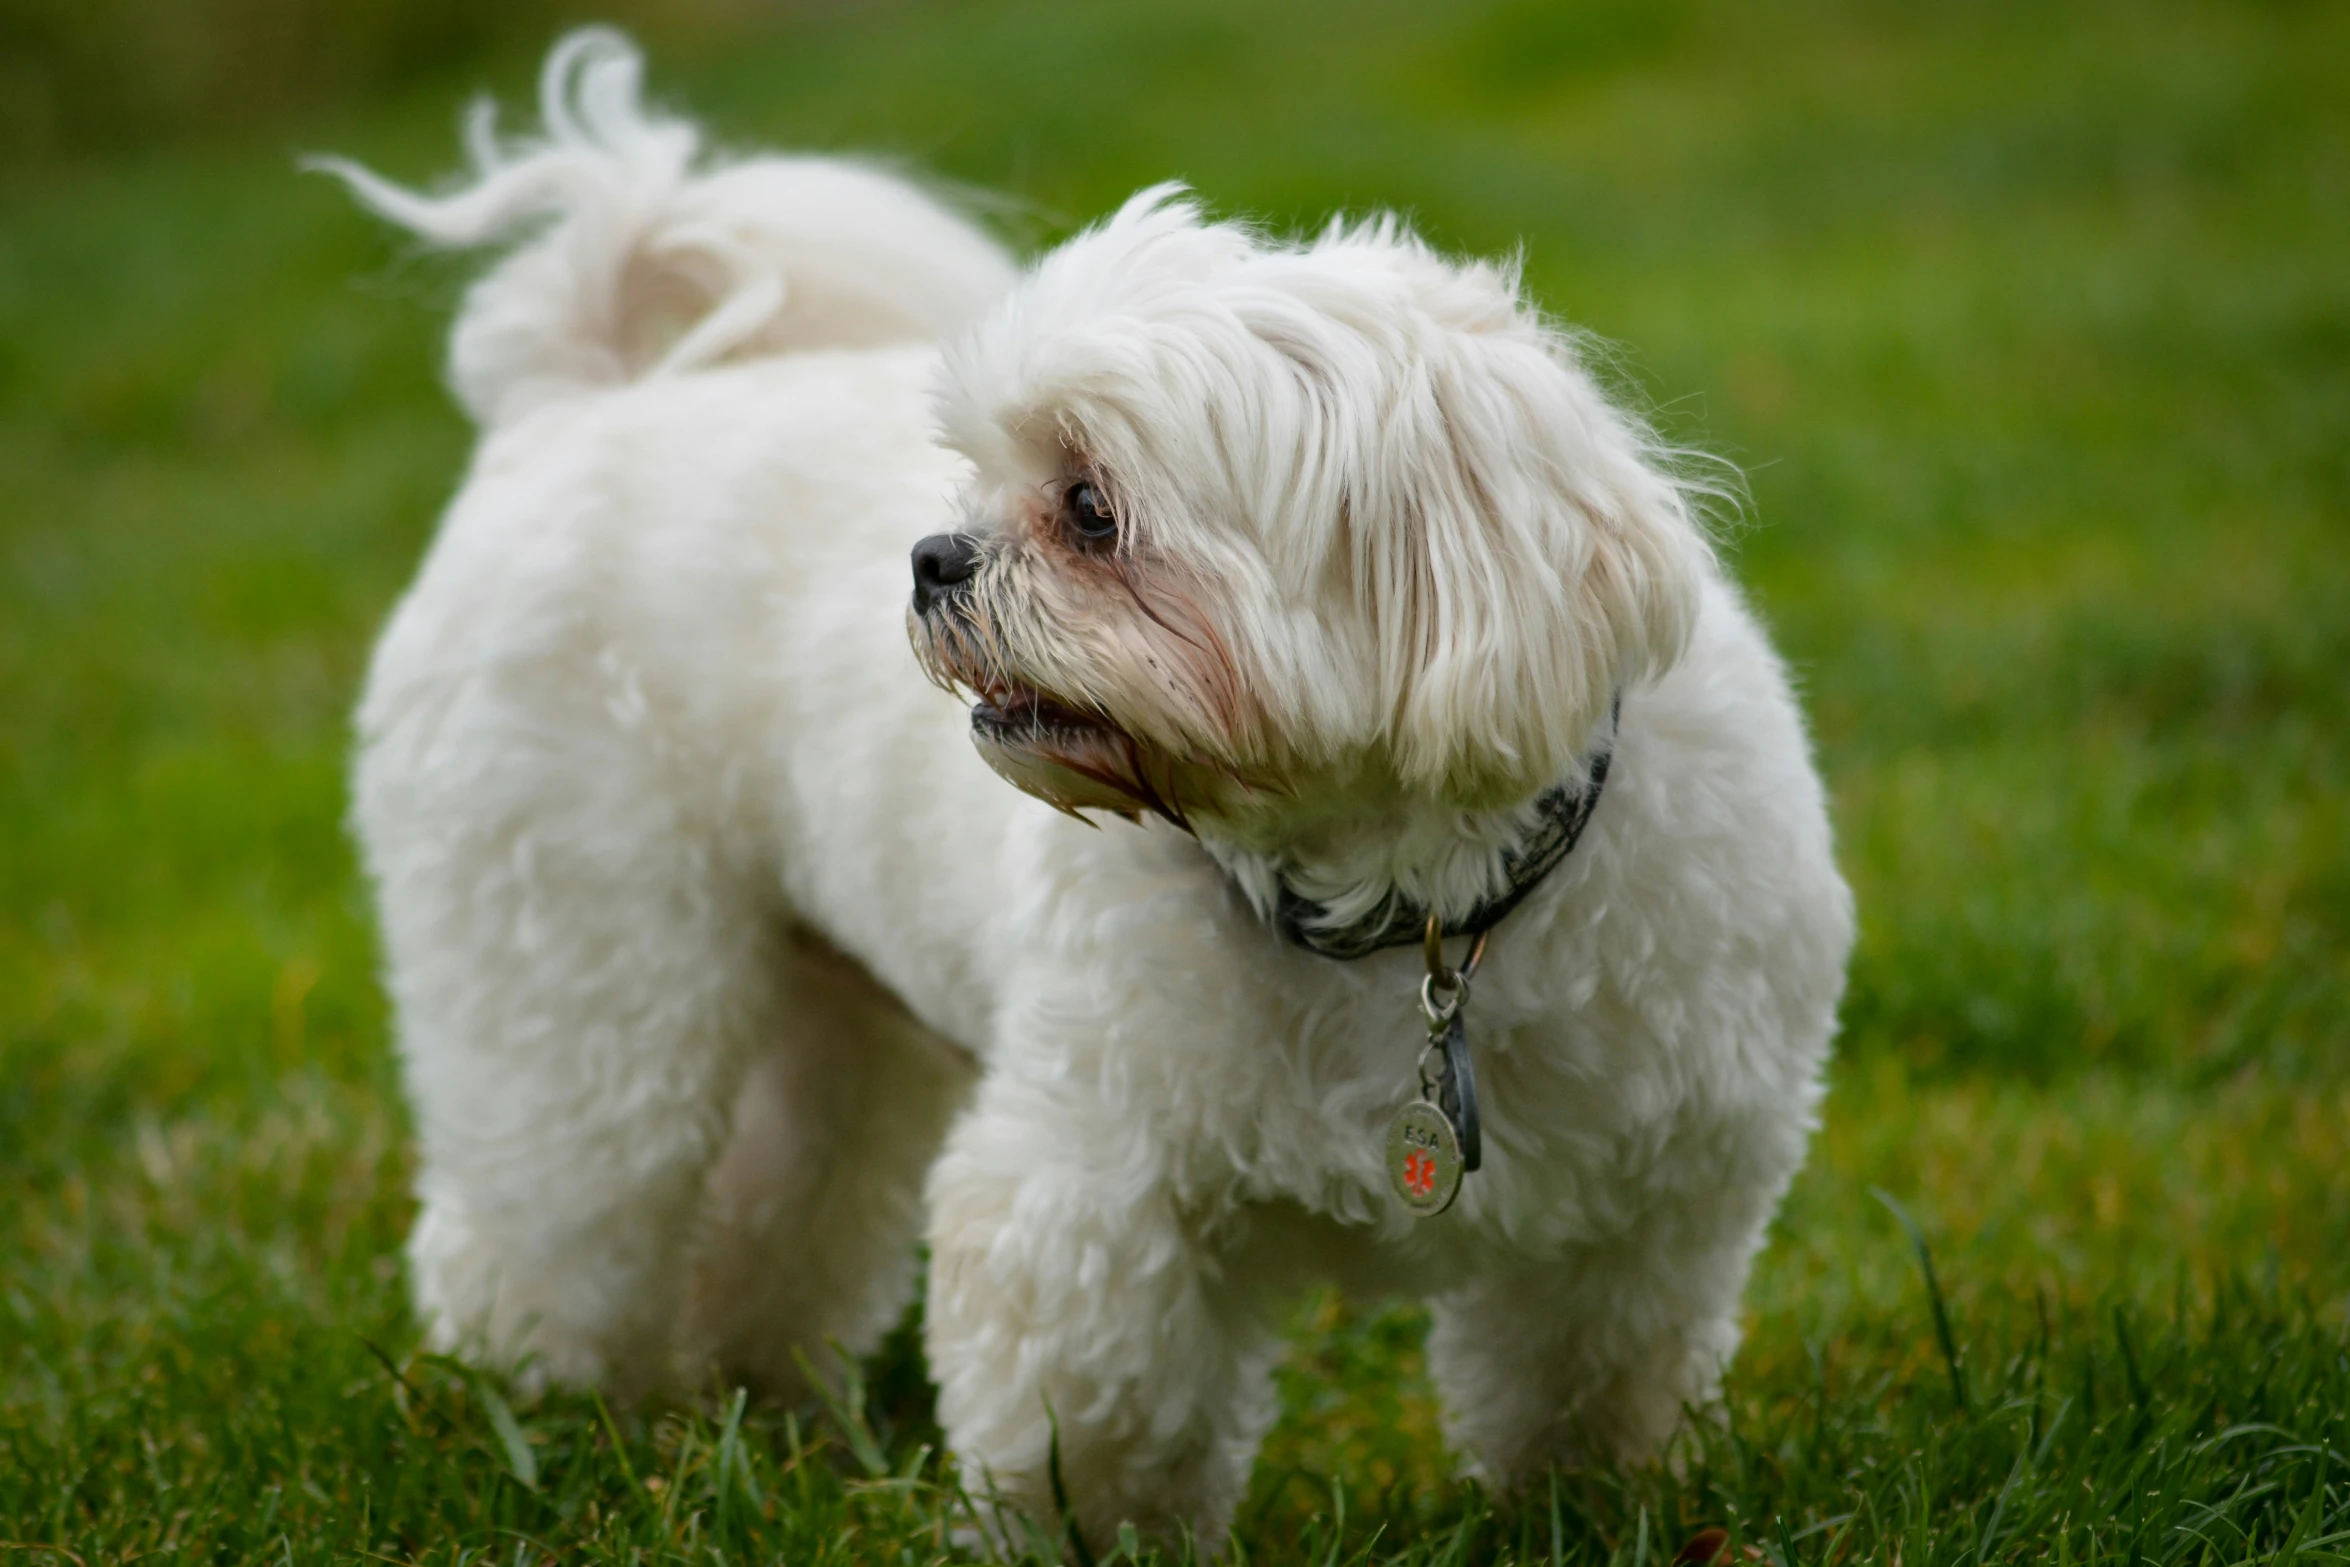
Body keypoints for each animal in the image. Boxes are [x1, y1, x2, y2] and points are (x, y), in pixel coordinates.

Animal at [326, 33, 1851, 1559]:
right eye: (979, 477)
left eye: (1090, 507)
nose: (931, 556)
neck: (1403, 905)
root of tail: (574, 402)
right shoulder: (1097, 1195)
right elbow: (1108, 1424)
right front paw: (1089, 1535)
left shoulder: (1652, 1202)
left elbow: (1588, 1382)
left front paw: (1594, 1512)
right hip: (573, 975)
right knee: (551, 1201)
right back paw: (539, 1402)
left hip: (831, 1017)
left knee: (776, 1207)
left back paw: (747, 1397)